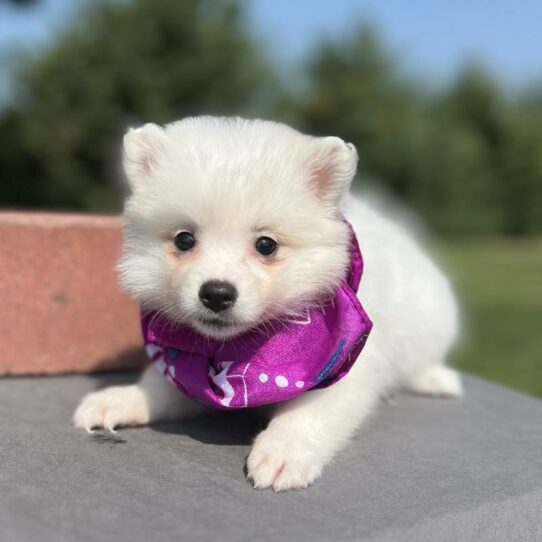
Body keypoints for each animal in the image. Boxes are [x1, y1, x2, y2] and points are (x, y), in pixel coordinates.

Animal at [73, 118, 464, 492]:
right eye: (184, 239)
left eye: (266, 245)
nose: (217, 293)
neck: (238, 353)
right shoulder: (182, 365)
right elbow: (160, 385)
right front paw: (120, 399)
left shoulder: (346, 364)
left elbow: (310, 411)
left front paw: (284, 452)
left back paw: (435, 378)